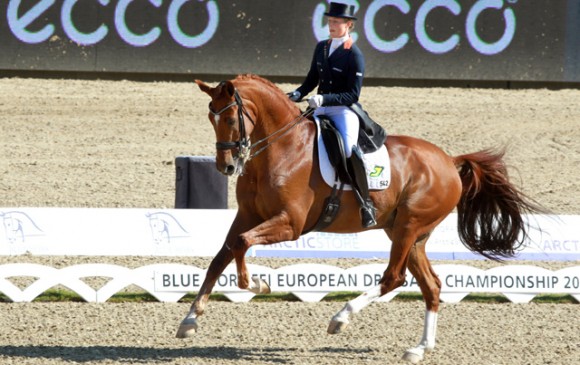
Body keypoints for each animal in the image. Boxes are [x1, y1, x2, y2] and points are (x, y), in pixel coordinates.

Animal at [178, 73, 544, 362]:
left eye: (230, 118)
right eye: (211, 118)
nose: (226, 167)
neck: (283, 148)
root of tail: (450, 162)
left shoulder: (290, 224)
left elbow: (241, 245)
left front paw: (256, 284)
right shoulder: (247, 215)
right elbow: (222, 255)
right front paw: (190, 319)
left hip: (409, 227)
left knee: (393, 278)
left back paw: (341, 318)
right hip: (410, 235)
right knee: (431, 285)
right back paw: (419, 349)